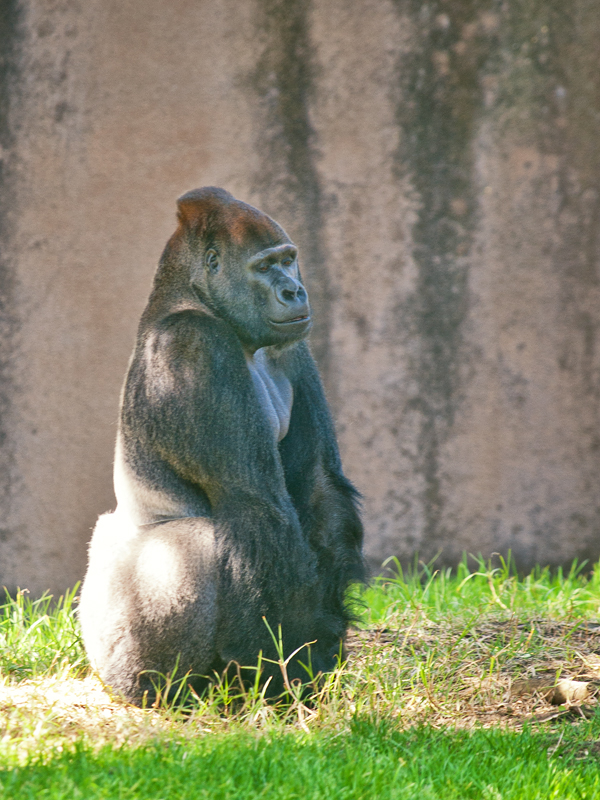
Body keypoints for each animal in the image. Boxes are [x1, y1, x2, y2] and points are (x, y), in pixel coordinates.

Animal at [78, 189, 364, 708]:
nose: (295, 291)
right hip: (114, 647)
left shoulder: (292, 345)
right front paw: (281, 672)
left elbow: (318, 486)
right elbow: (255, 507)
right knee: (194, 542)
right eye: (265, 267)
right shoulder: (194, 348)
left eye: (289, 260)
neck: (195, 296)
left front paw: (319, 647)